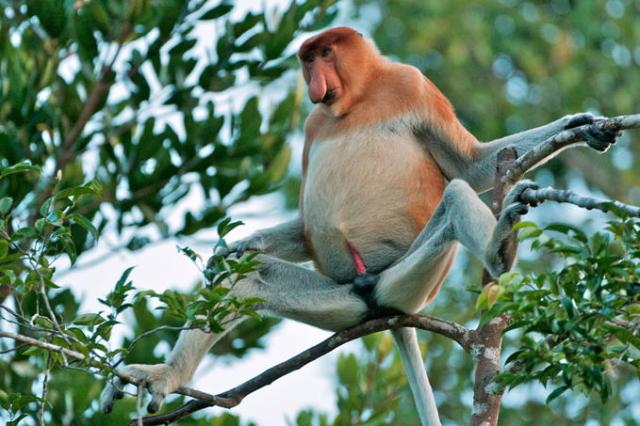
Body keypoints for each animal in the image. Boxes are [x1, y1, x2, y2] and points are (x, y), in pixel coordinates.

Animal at [101, 27, 619, 425]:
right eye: (306, 59)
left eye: (324, 54)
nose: (312, 80)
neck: (358, 99)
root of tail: (375, 297)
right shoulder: (314, 123)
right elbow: (300, 230)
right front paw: (234, 247)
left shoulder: (413, 85)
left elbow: (470, 166)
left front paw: (582, 124)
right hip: (340, 300)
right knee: (245, 281)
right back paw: (162, 375)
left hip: (407, 279)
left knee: (454, 196)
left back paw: (497, 247)